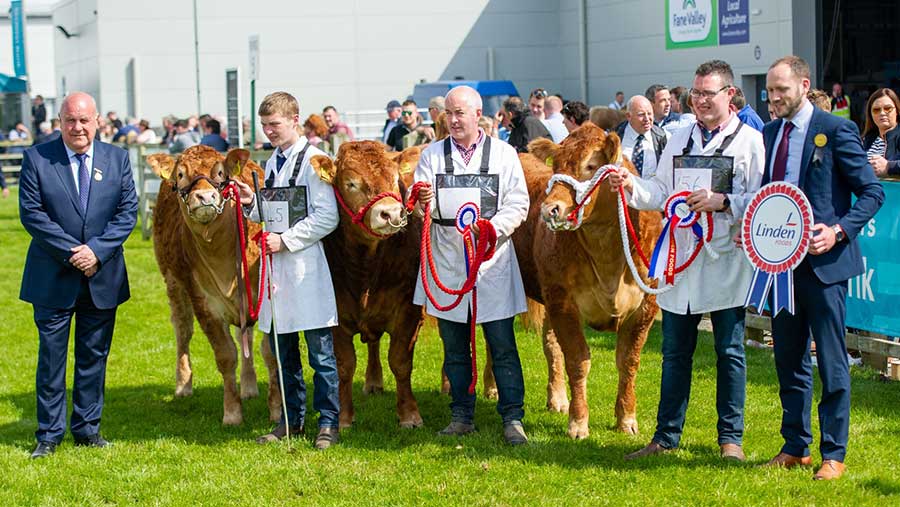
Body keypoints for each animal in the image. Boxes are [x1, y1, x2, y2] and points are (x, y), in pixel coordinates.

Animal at [146, 146, 280, 424]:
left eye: (220, 173)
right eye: (181, 175)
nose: (205, 196)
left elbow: (269, 352)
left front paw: (276, 410)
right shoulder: (203, 302)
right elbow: (225, 355)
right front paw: (232, 412)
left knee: (245, 335)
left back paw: (249, 386)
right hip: (172, 281)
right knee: (183, 330)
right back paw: (183, 385)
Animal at [312, 142, 428, 428]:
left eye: (396, 180)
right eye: (351, 183)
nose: (391, 213)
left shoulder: (409, 309)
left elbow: (400, 361)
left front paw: (410, 414)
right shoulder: (335, 312)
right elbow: (344, 366)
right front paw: (343, 417)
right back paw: (373, 381)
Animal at [512, 124, 660, 440]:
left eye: (590, 167)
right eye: (556, 166)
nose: (550, 209)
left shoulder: (646, 307)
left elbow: (628, 361)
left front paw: (626, 418)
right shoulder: (564, 302)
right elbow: (578, 361)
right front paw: (578, 423)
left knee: (550, 345)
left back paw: (557, 399)